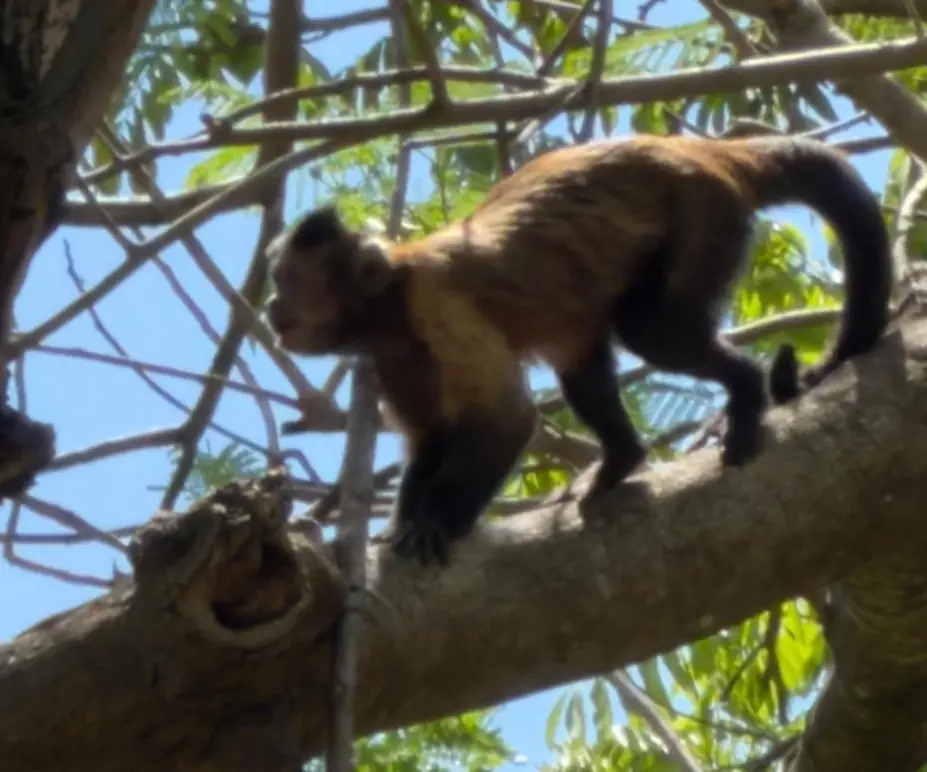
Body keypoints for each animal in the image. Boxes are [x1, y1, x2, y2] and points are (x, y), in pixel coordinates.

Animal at [263, 133, 892, 567]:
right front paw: (403, 524)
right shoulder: (388, 355)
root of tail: (709, 151)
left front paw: (438, 521)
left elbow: (507, 420)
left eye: (285, 282)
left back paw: (744, 393)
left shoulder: (436, 303)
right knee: (581, 360)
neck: (389, 300)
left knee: (648, 330)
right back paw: (622, 459)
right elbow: (433, 437)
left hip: (702, 212)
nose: (271, 306)